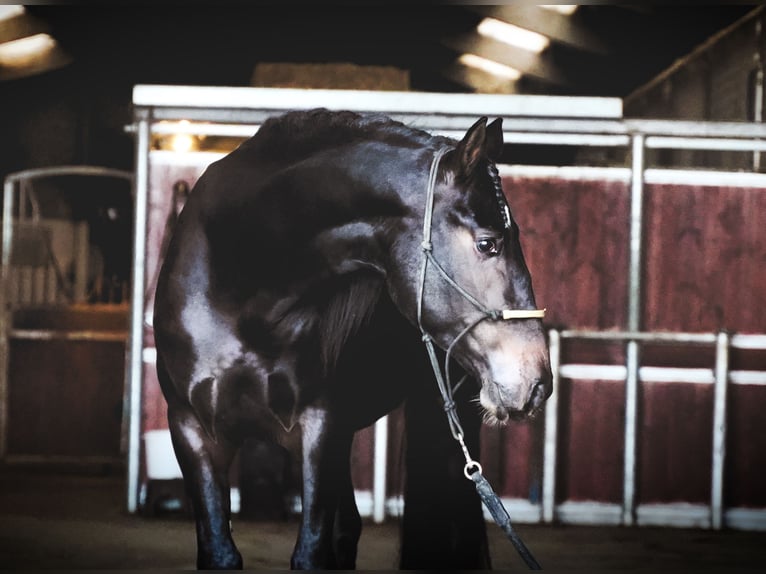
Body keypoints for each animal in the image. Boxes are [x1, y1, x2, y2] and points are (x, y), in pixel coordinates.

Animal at [154, 109, 552, 572]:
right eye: (488, 244)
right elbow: (220, 550)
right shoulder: (192, 431)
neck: (241, 284)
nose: (537, 382)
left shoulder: (320, 428)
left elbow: (311, 550)